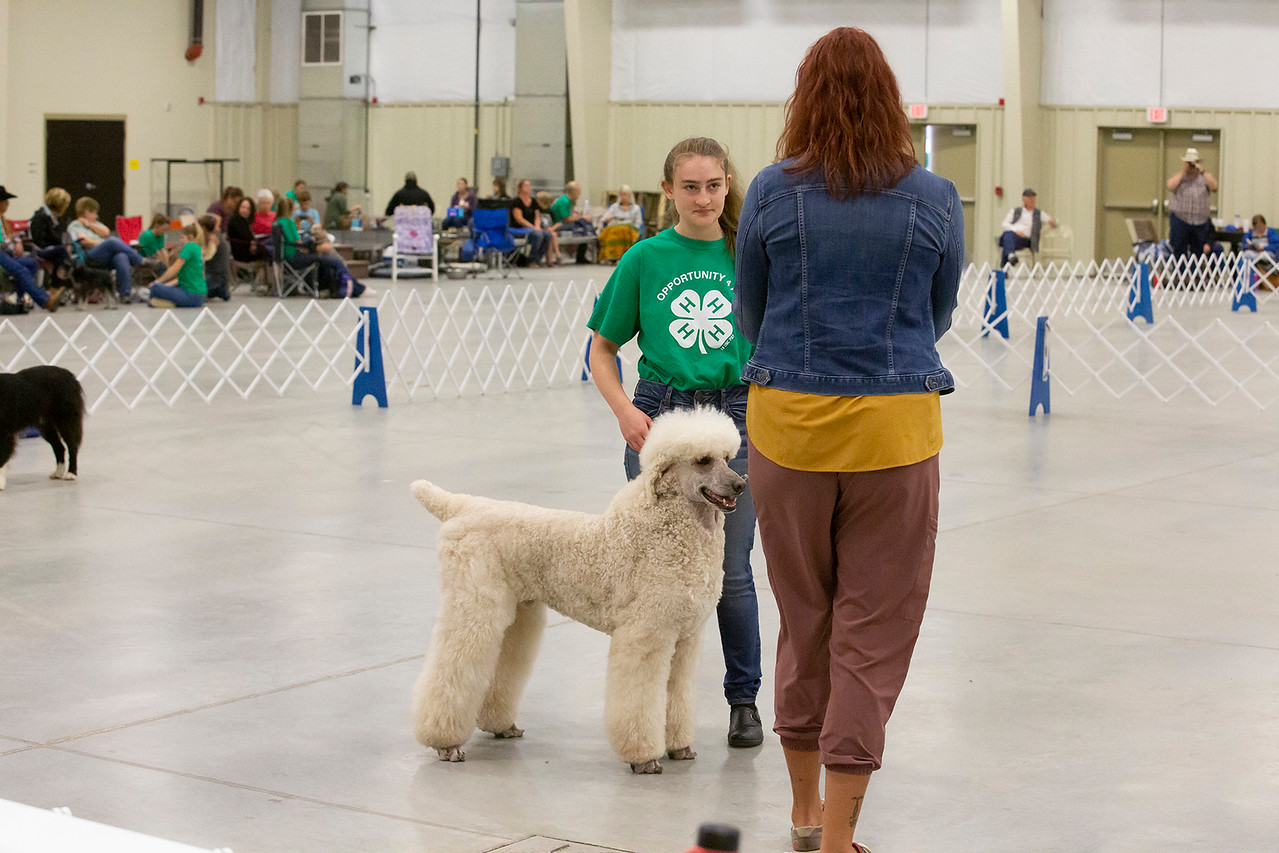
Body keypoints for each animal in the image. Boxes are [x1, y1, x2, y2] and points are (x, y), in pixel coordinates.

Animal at [0, 363, 85, 491]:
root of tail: (68, 374)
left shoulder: (5, 433)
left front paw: (0, 483)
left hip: (66, 420)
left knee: (72, 446)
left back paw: (71, 473)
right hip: (45, 425)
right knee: (59, 447)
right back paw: (58, 473)